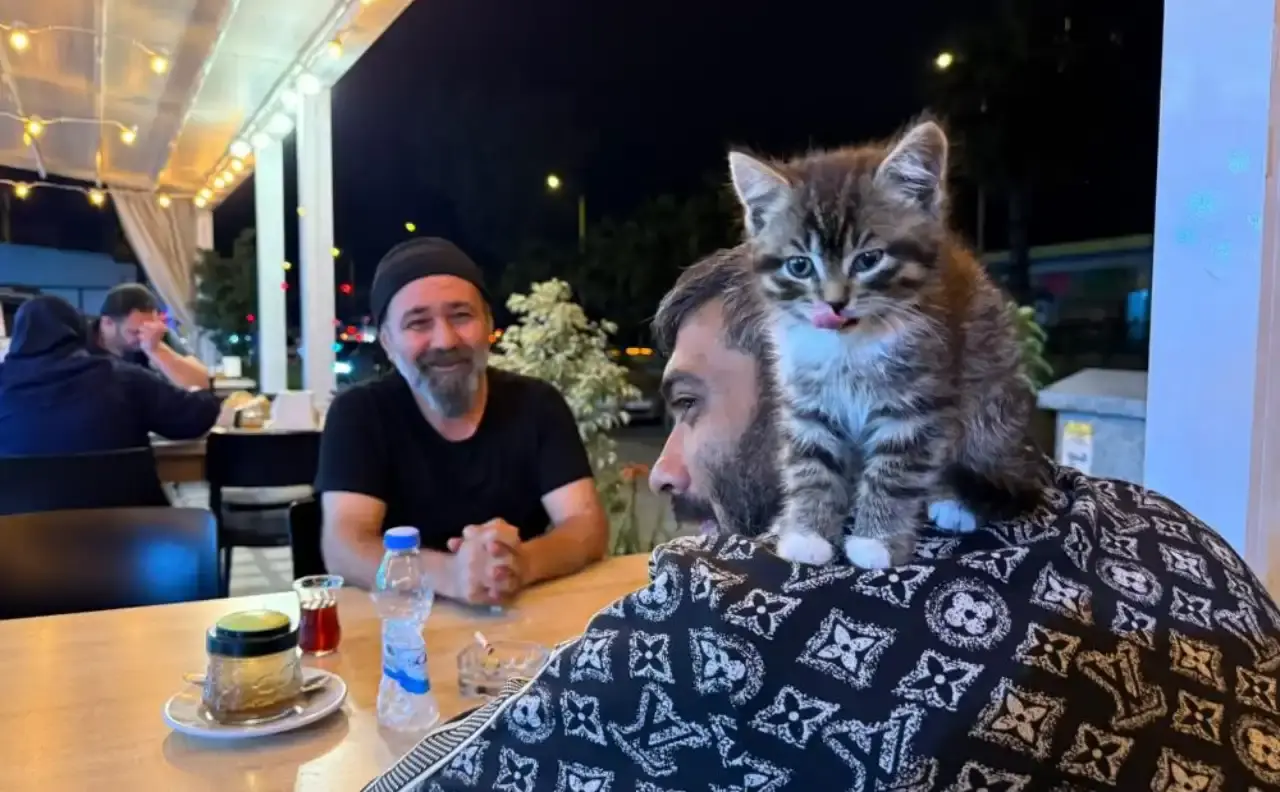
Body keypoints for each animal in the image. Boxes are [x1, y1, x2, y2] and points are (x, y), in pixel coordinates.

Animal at [726, 118, 1049, 568]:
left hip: (993, 388)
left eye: (868, 260)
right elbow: (810, 460)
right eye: (799, 266)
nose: (834, 303)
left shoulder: (918, 399)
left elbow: (897, 469)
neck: (849, 345)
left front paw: (875, 542)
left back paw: (955, 502)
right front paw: (807, 531)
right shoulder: (807, 396)